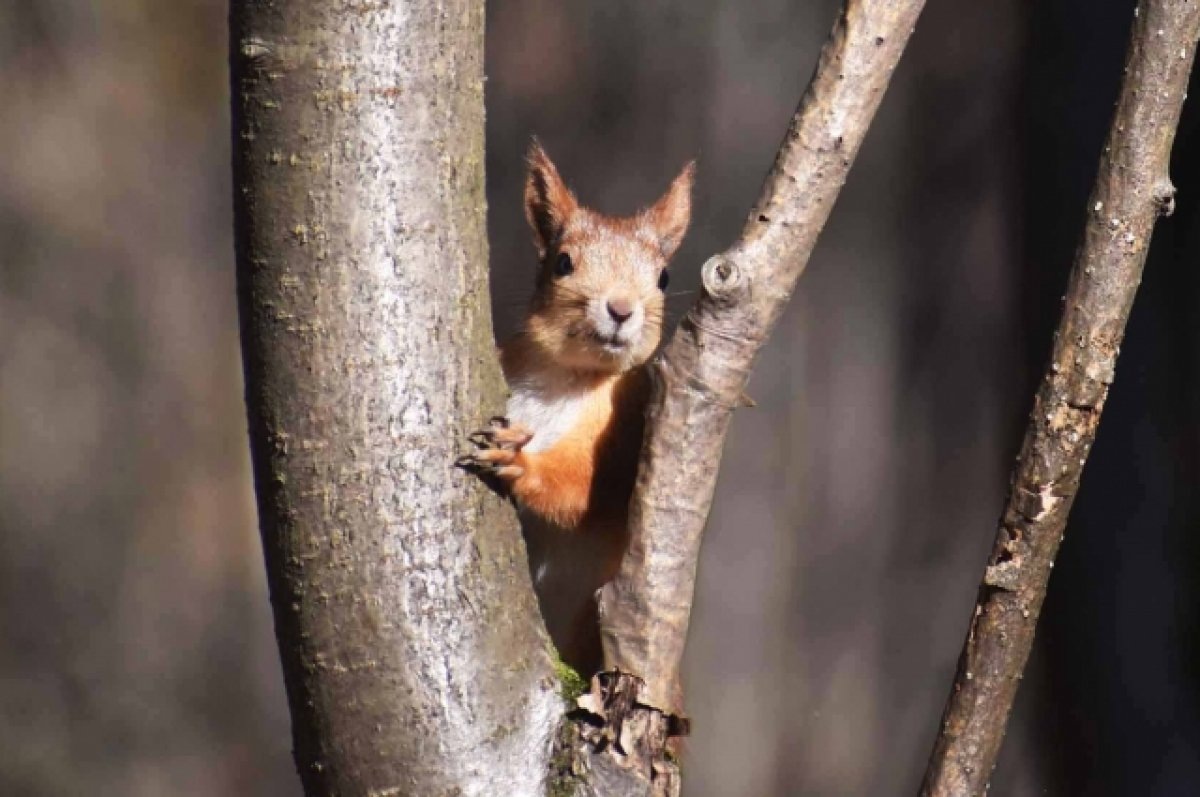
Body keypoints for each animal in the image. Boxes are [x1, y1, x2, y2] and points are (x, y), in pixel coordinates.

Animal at [458, 141, 696, 672]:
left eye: (665, 276)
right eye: (563, 263)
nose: (621, 309)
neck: (566, 375)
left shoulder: (626, 429)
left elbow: (583, 489)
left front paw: (517, 460)